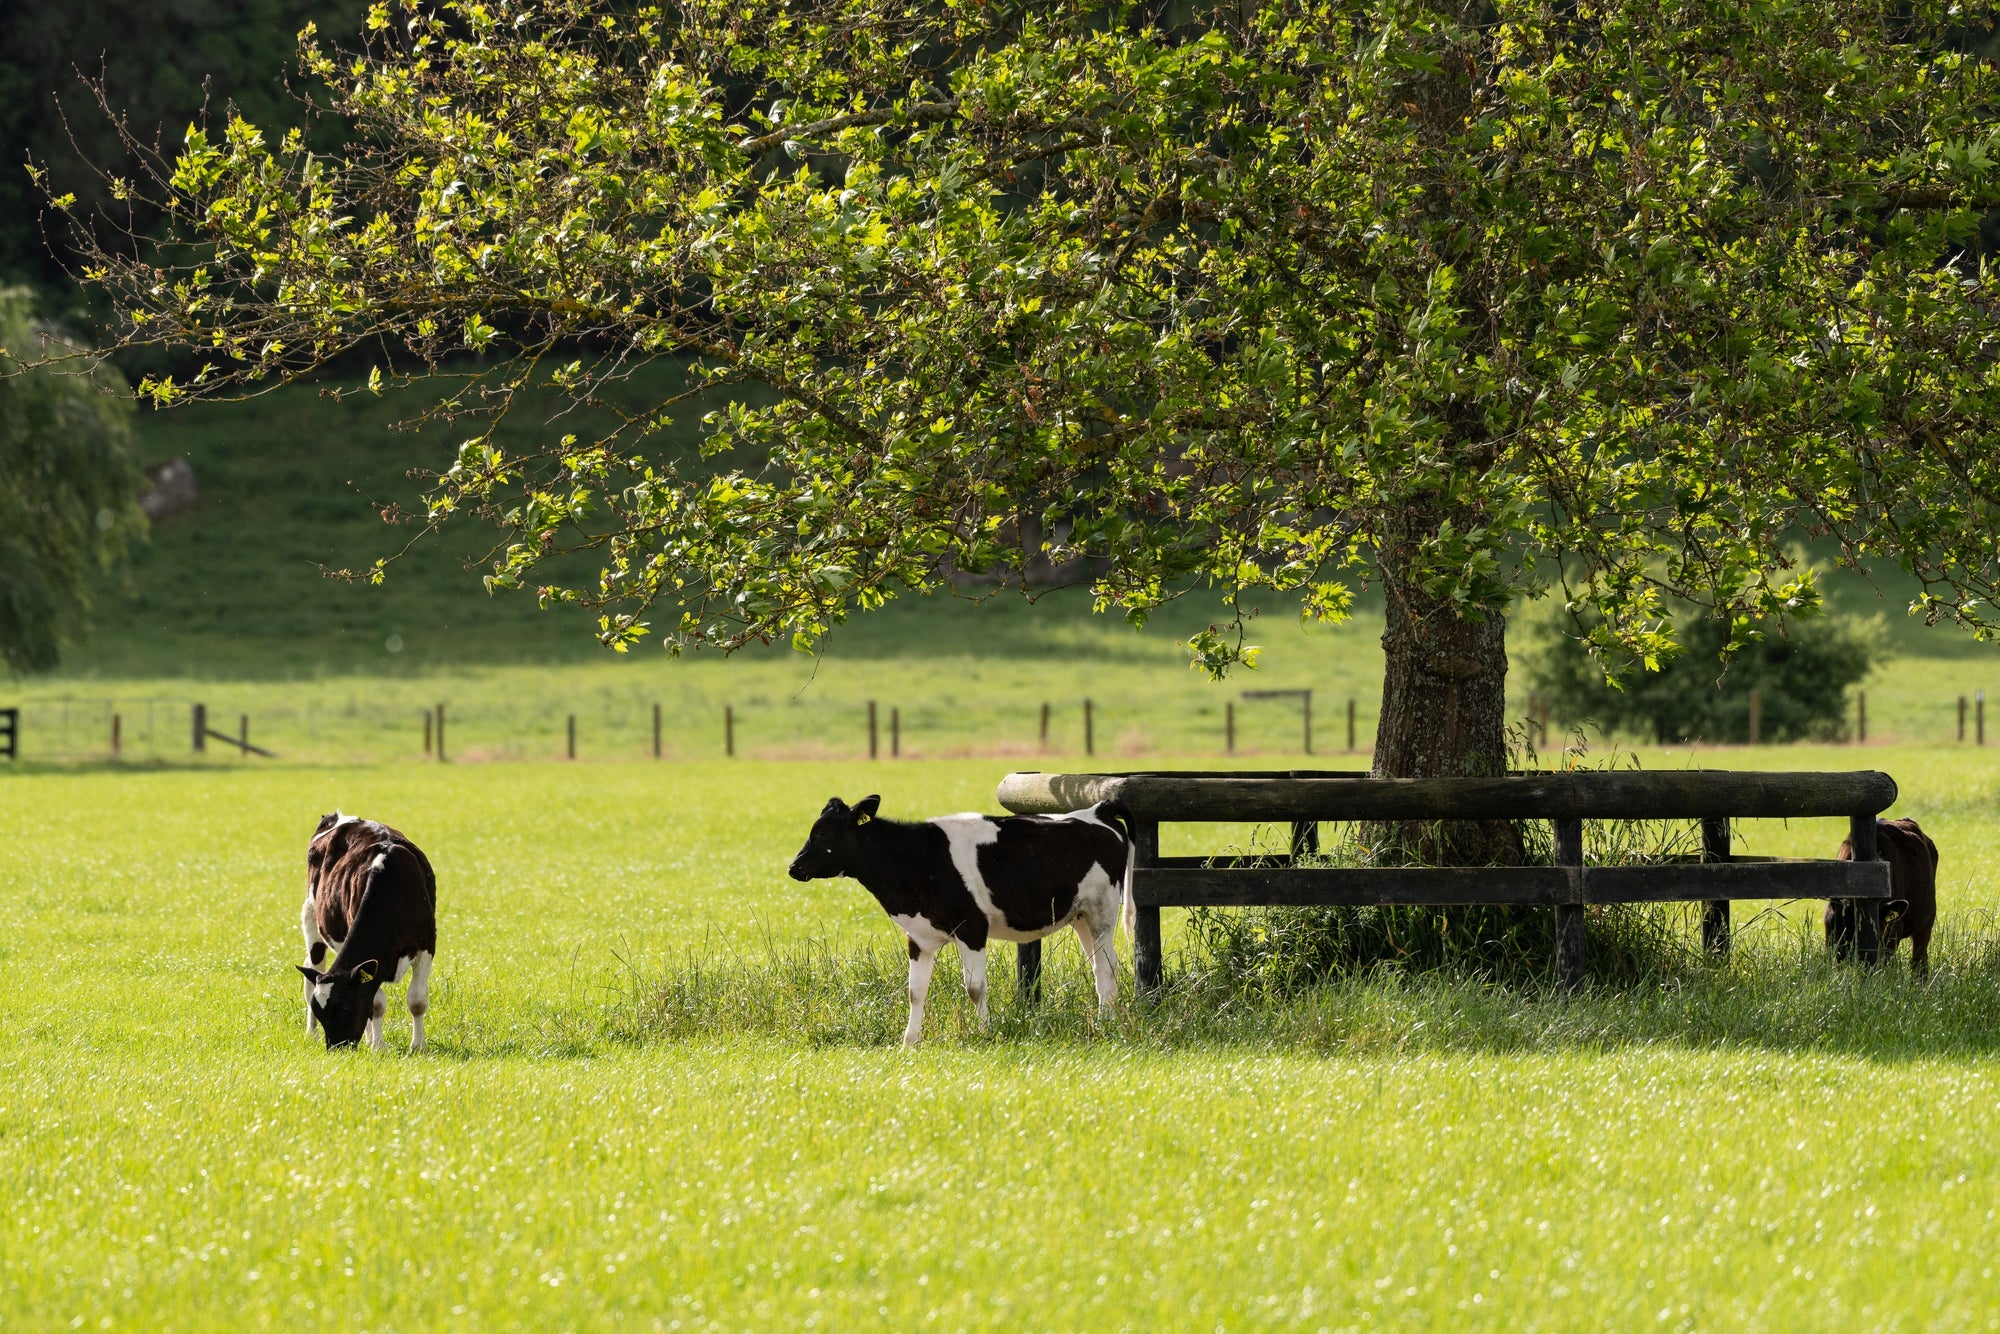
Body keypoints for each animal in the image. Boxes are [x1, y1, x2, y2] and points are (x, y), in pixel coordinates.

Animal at [296, 816, 438, 1056]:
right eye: (320, 1011)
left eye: (343, 1008)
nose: (336, 1048)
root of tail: (335, 817)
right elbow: (376, 1005)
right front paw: (379, 1046)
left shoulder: (427, 942)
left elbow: (417, 1001)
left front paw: (418, 1047)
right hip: (311, 916)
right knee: (312, 970)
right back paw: (312, 1033)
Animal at [784, 792, 1136, 1040]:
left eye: (822, 833)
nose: (793, 867)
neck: (916, 860)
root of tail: (1096, 811)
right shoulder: (919, 937)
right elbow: (915, 991)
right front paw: (908, 1042)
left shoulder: (972, 928)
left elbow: (974, 987)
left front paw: (984, 1033)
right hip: (1081, 916)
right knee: (1100, 965)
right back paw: (1107, 1020)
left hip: (1102, 910)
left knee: (1107, 965)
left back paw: (1105, 1023)